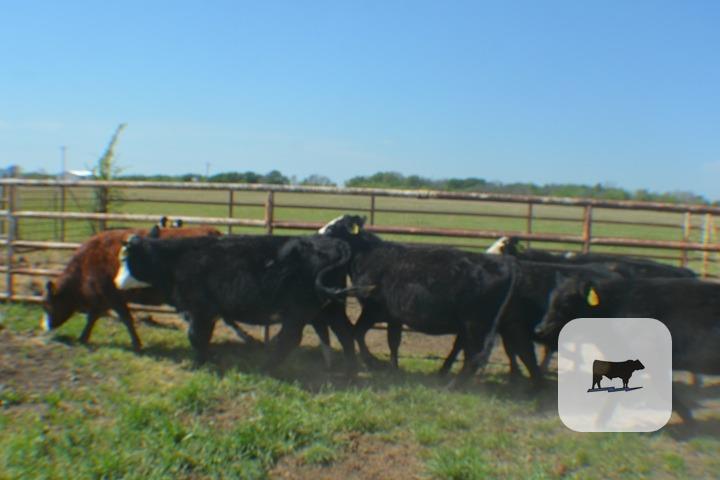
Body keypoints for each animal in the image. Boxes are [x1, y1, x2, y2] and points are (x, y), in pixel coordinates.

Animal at [41, 224, 222, 351]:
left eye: (47, 304)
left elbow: (126, 319)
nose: (45, 327)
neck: (86, 263)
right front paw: (83, 337)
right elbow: (92, 318)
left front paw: (137, 344)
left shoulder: (112, 297)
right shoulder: (103, 299)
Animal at [114, 233, 359, 370]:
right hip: (330, 308)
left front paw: (197, 364)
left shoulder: (199, 310)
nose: (116, 282)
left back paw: (267, 367)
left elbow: (195, 336)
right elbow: (204, 336)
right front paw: (207, 358)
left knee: (290, 339)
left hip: (298, 312)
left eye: (127, 259)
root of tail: (332, 243)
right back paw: (350, 371)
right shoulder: (209, 313)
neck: (177, 260)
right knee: (345, 333)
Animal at [318, 215, 518, 383]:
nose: (316, 235)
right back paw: (444, 373)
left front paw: (373, 362)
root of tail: (503, 266)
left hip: (475, 325)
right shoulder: (393, 317)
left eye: (332, 228)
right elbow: (393, 341)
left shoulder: (372, 310)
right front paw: (394, 368)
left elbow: (357, 333)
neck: (369, 257)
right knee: (462, 348)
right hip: (468, 325)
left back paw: (454, 384)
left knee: (473, 355)